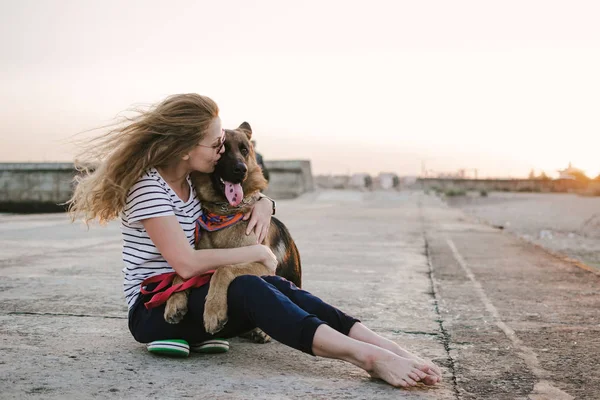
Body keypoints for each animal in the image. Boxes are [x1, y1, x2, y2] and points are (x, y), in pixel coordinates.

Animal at [163, 121, 300, 338]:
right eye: (222, 149)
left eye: (244, 150)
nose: (241, 170)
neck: (225, 212)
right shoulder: (196, 260)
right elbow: (181, 274)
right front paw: (174, 300)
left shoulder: (264, 265)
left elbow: (223, 268)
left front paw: (213, 311)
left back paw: (261, 332)